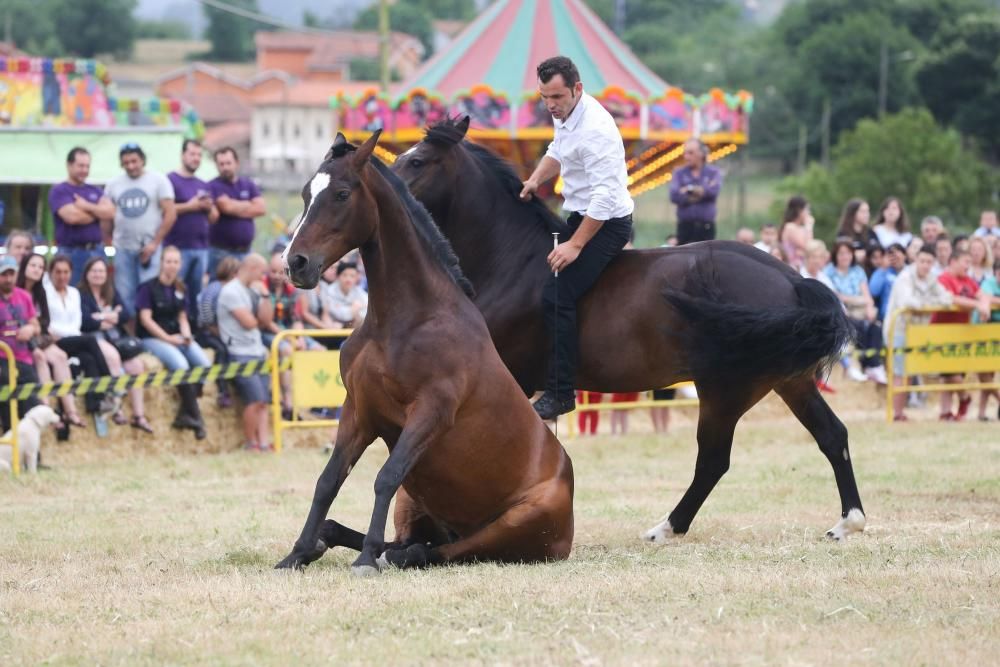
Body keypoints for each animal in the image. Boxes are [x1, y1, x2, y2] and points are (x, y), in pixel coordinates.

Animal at [274, 130, 576, 576]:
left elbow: (386, 475)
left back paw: (390, 554)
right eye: (306, 193)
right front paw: (296, 552)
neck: (404, 320)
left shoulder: (431, 409)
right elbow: (329, 480)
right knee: (412, 541)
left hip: (513, 524)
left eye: (343, 193)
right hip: (414, 503)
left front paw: (365, 559)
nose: (295, 263)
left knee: (436, 551)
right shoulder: (359, 410)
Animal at [392, 117, 868, 544]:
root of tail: (791, 279)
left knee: (714, 460)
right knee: (832, 436)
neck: (512, 260)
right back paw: (848, 522)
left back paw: (667, 528)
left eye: (417, 160)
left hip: (724, 390)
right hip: (789, 382)